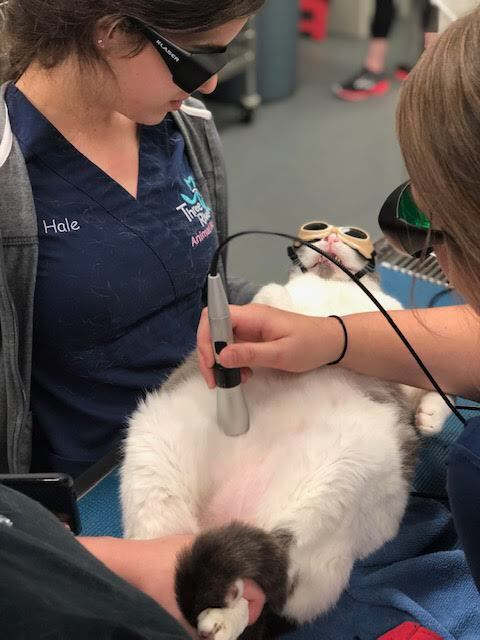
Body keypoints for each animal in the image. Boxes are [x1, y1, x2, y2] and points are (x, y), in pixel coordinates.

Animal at [120, 234, 450, 640]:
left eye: (353, 235)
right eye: (317, 231)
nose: (331, 236)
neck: (331, 288)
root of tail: (230, 518)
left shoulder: (402, 356)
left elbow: (436, 392)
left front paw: (430, 418)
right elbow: (272, 297)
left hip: (332, 492)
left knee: (268, 575)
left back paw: (222, 619)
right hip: (157, 463)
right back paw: (216, 619)